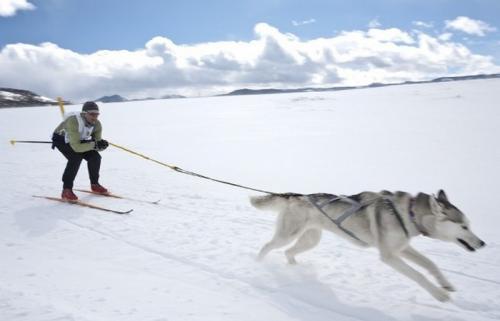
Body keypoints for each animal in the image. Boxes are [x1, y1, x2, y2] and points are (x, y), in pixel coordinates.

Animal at [252, 189, 486, 302]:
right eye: (464, 226)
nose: (482, 243)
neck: (409, 214)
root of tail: (295, 196)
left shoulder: (402, 248)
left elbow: (430, 264)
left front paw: (446, 285)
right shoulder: (390, 256)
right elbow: (418, 275)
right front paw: (439, 294)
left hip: (310, 240)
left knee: (288, 252)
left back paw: (293, 267)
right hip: (287, 235)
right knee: (266, 247)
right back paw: (257, 265)